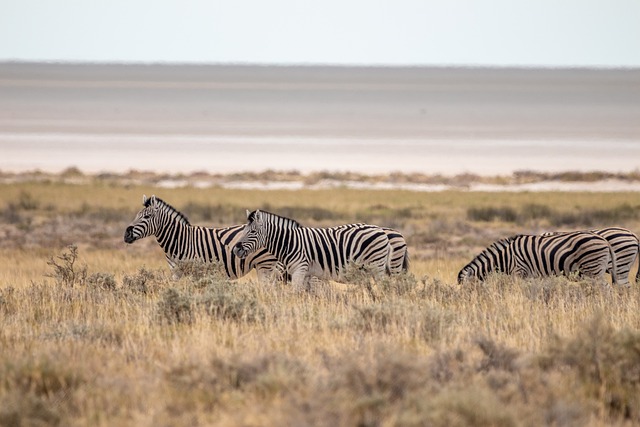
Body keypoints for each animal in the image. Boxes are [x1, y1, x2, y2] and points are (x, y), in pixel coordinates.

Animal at [123, 196, 282, 282]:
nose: (126, 235)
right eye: (137, 215)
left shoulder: (196, 272)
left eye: (147, 216)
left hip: (265, 265)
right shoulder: (176, 272)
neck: (180, 239)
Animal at [230, 210, 390, 288]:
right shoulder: (306, 273)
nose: (235, 249)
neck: (289, 243)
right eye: (244, 230)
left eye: (252, 232)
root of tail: (380, 230)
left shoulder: (299, 270)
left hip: (377, 266)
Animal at [458, 231, 616, 288]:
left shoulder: (519, 271)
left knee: (605, 288)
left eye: (465, 288)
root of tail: (604, 240)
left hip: (593, 270)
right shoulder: (532, 276)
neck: (505, 258)